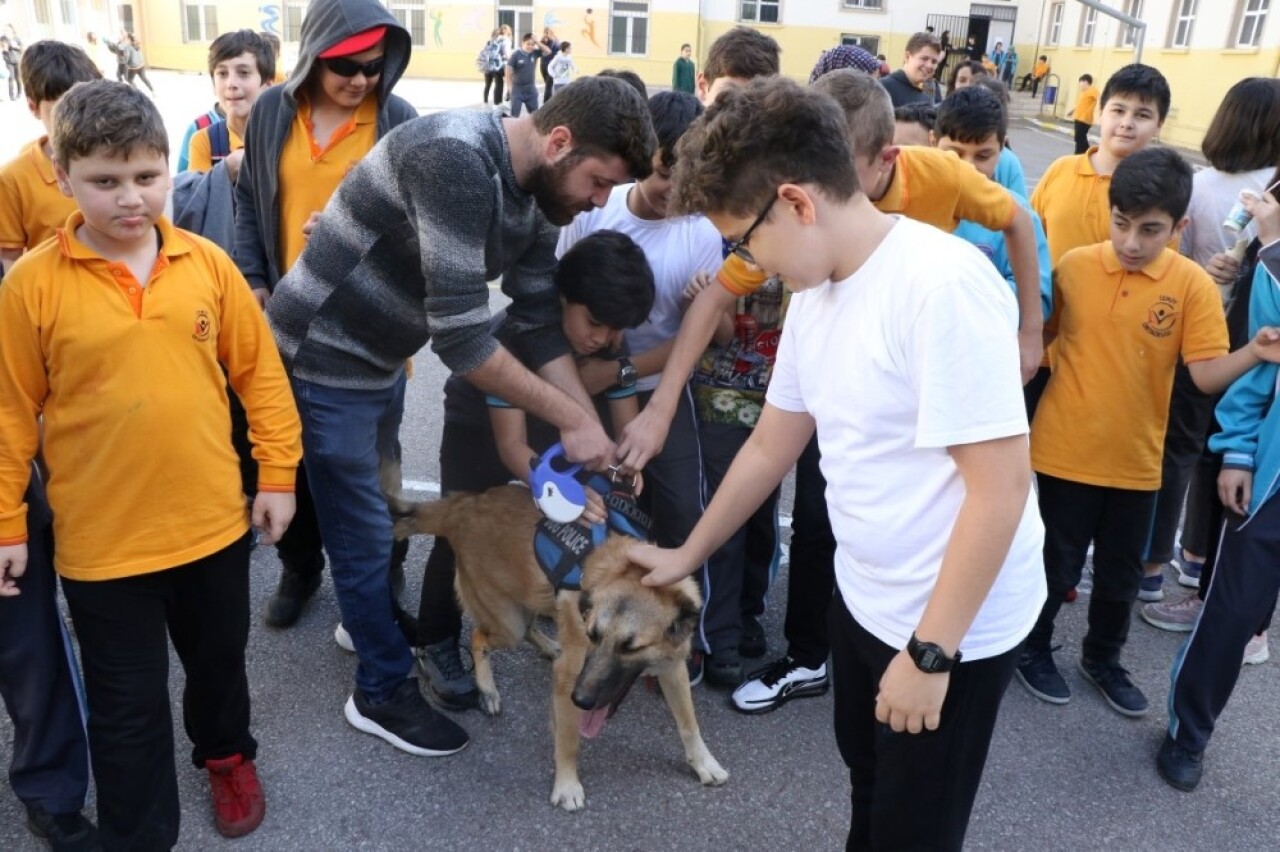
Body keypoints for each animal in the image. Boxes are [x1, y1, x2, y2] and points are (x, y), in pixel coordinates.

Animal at [381, 470, 732, 808]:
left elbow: (689, 723)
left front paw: (703, 762)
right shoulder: (567, 679)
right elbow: (568, 739)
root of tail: (462, 506)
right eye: (593, 636)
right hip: (508, 623)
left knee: (529, 626)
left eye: (631, 647)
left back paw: (548, 646)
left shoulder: (673, 668)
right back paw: (488, 689)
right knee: (480, 635)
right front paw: (566, 785)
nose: (582, 700)